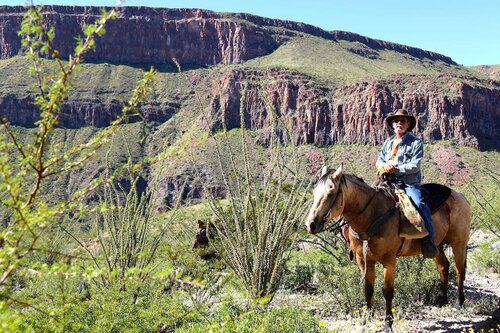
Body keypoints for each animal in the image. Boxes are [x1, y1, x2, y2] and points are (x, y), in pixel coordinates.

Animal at [304, 165, 472, 326]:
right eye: (314, 192)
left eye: (331, 193)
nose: (310, 224)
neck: (372, 215)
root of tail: (461, 196)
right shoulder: (363, 259)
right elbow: (368, 288)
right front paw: (367, 318)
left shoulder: (389, 260)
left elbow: (387, 291)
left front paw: (388, 323)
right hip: (437, 246)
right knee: (443, 266)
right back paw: (442, 300)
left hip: (459, 243)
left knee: (459, 270)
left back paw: (459, 302)